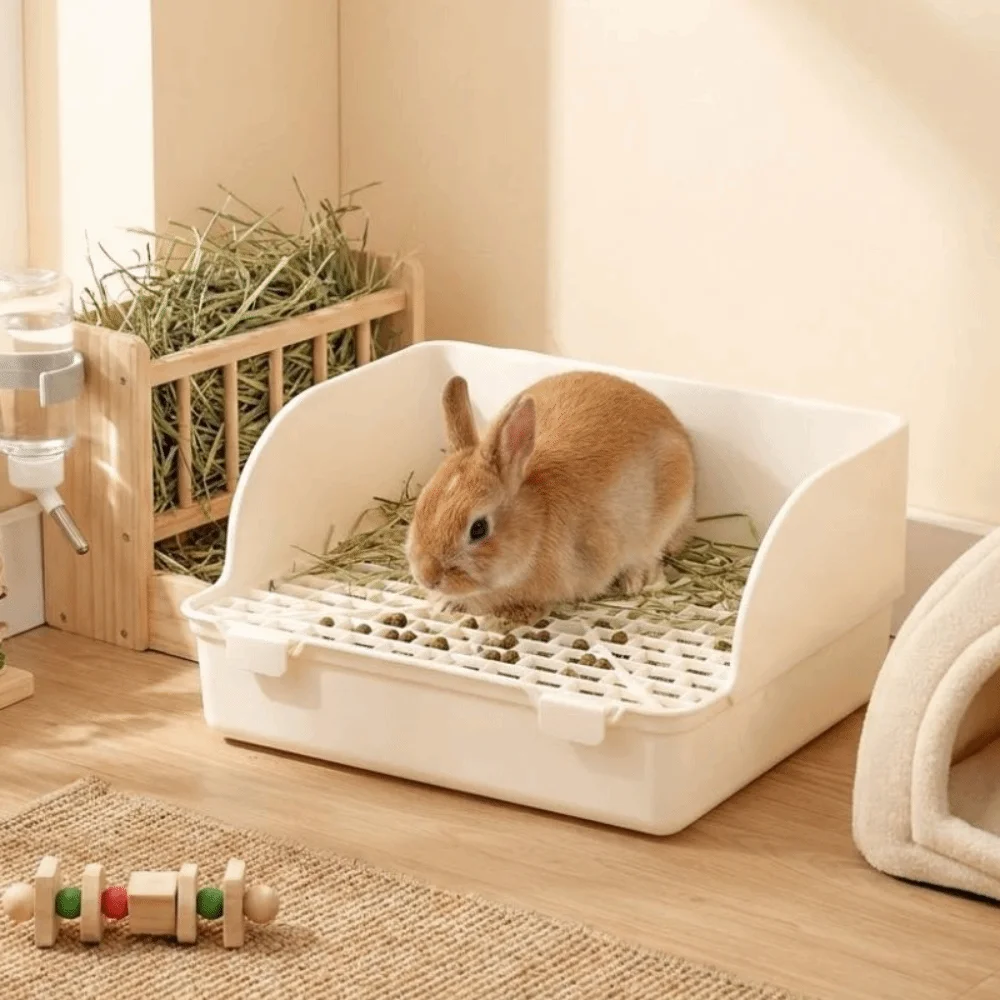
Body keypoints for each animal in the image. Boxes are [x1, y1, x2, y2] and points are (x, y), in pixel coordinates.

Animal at [405, 369, 696, 623]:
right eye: (420, 507)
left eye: (478, 529)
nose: (427, 577)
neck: (536, 526)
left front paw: (446, 604)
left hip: (664, 519)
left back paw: (634, 582)